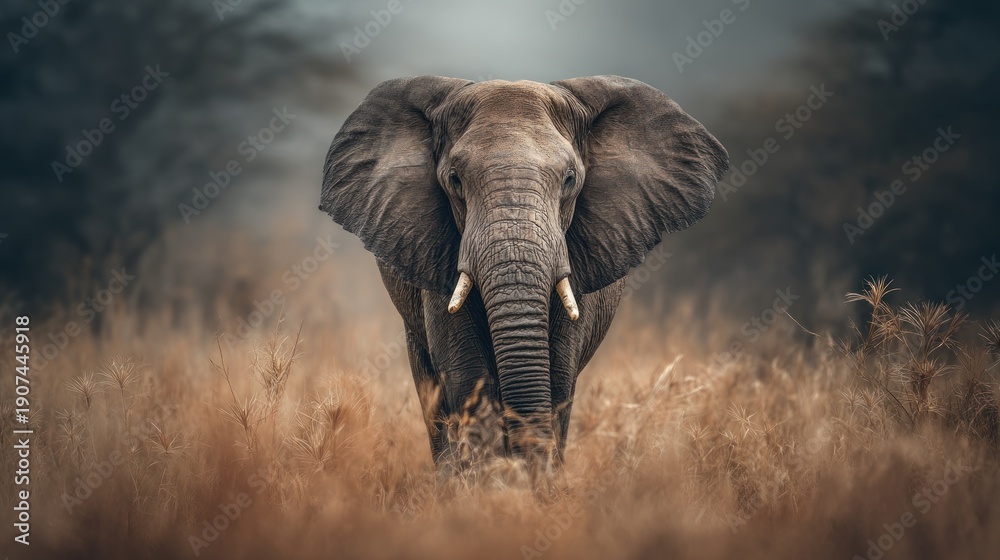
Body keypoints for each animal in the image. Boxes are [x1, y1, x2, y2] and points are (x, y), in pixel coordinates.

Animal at [320, 75, 728, 471]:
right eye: (454, 179)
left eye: (569, 180)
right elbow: (467, 374)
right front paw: (491, 483)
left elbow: (558, 375)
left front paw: (535, 482)